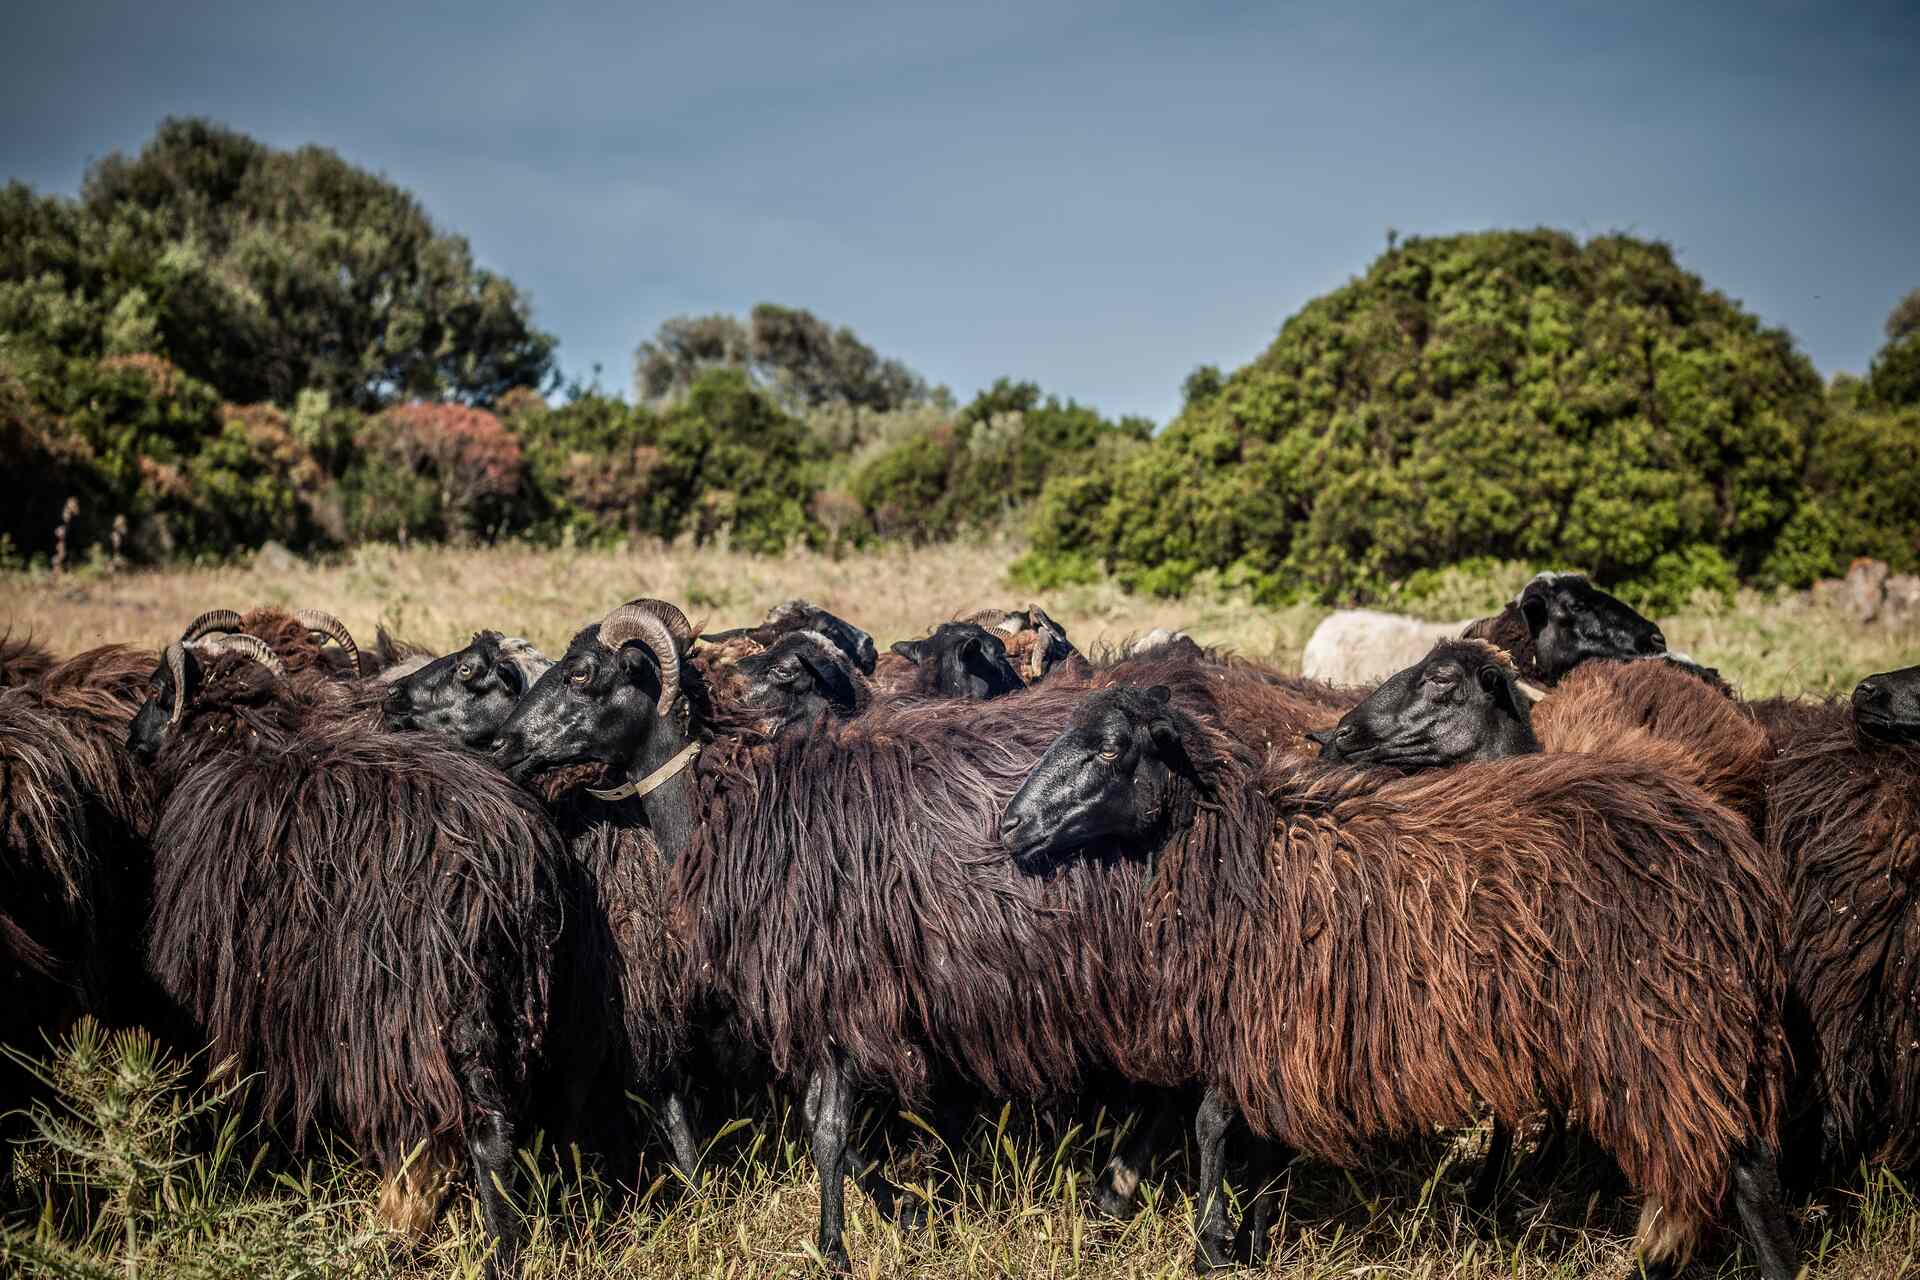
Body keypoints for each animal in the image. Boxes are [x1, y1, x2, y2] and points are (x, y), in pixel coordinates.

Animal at [126, 625, 604, 1278]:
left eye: (158, 689)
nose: (131, 742)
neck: (237, 744)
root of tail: (503, 859)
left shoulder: (223, 991)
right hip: (512, 1002)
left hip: (418, 1011)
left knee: (460, 1132)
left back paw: (435, 1241)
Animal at [1003, 684, 1797, 1280]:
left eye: (1111, 747)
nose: (1009, 826)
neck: (1243, 850)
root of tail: (1728, 854)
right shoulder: (1277, 1032)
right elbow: (1253, 1136)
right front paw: (1252, 1240)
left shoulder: (1260, 1012)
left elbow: (1213, 1123)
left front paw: (1212, 1249)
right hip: (1704, 1026)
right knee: (1749, 1159)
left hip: (1665, 1023)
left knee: (1732, 1161)